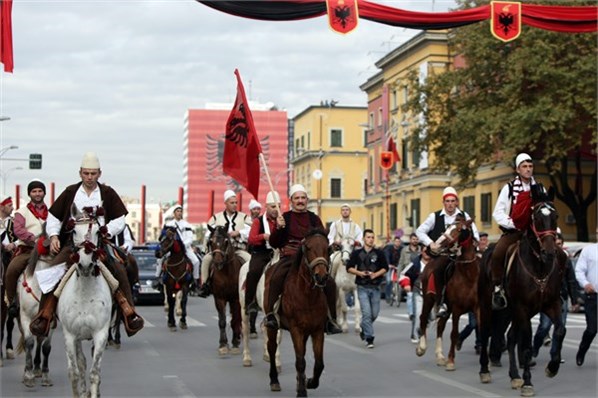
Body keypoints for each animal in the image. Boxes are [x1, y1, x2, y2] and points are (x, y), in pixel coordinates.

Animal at [56, 208, 113, 398]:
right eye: (74, 231)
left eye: (97, 231)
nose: (86, 264)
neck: (85, 293)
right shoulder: (69, 335)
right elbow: (74, 372)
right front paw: (79, 392)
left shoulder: (101, 334)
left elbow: (94, 373)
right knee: (81, 363)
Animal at [207, 225, 243, 356]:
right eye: (210, 241)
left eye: (226, 241)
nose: (217, 261)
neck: (227, 272)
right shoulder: (219, 298)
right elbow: (222, 321)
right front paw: (223, 344)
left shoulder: (235, 299)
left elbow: (235, 320)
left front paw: (235, 343)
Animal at [268, 230, 332, 398]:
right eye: (308, 248)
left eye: (327, 248)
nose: (321, 276)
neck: (307, 294)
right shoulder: (295, 329)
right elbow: (300, 361)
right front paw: (302, 391)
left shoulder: (317, 330)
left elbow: (319, 363)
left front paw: (309, 383)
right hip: (272, 327)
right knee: (272, 348)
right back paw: (274, 381)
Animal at [478, 201, 568, 396]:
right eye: (537, 218)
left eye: (555, 216)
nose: (549, 252)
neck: (539, 267)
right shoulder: (523, 308)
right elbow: (526, 346)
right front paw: (528, 383)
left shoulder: (551, 304)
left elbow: (560, 330)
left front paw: (552, 367)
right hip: (488, 305)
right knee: (486, 332)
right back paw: (484, 370)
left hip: (512, 311)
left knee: (511, 336)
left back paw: (514, 376)